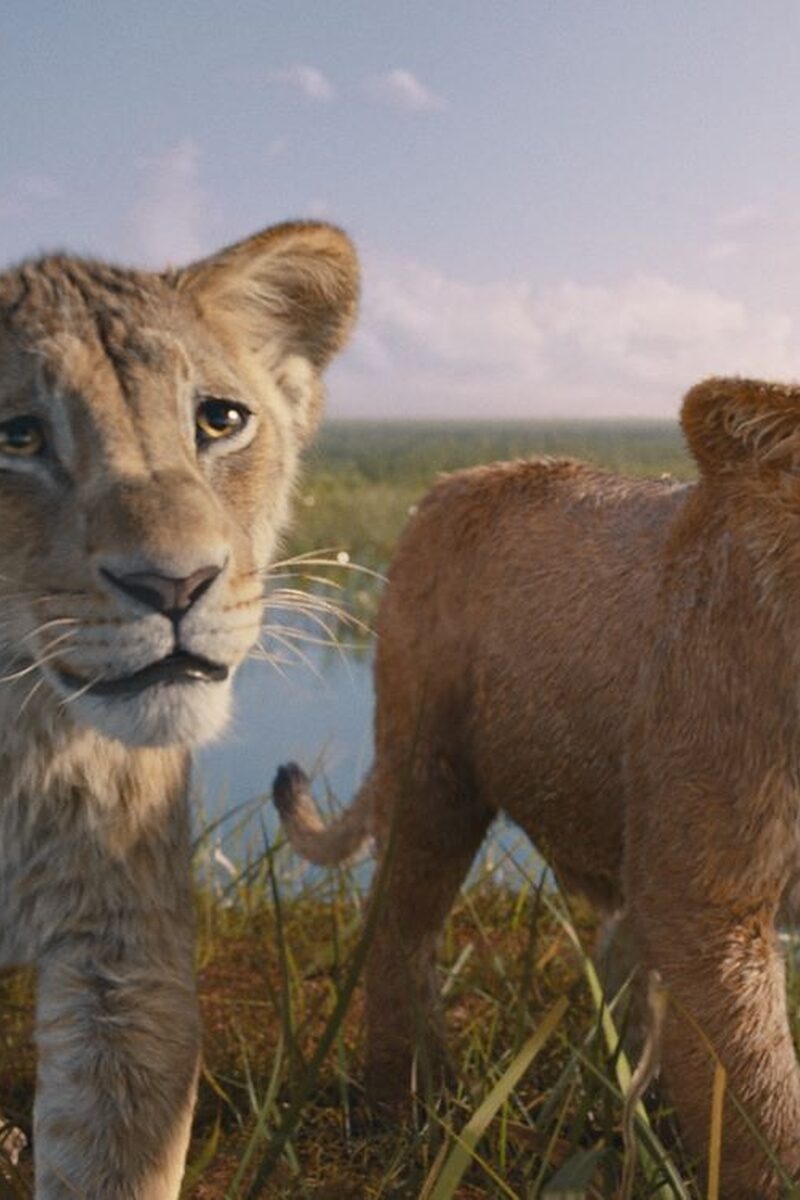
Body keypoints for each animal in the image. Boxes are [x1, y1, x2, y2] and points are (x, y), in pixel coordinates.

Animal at [275, 377, 800, 1199]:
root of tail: (453, 480)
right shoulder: (710, 904)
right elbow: (762, 1108)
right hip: (430, 778)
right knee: (398, 929)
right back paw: (407, 1107)